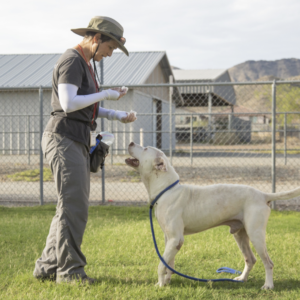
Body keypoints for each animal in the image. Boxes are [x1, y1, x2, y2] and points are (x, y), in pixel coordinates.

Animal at [125, 143, 300, 290]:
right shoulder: (170, 239)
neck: (167, 190)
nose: (131, 143)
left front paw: (160, 285)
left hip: (256, 234)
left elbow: (162, 265)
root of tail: (263, 195)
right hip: (240, 235)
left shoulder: (176, 239)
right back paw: (242, 279)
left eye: (145, 148)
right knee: (250, 259)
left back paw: (268, 286)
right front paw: (166, 281)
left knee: (268, 262)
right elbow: (168, 263)